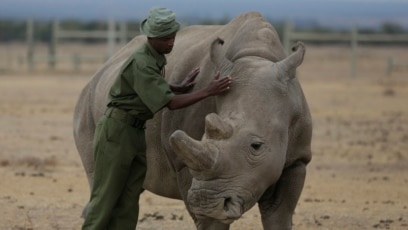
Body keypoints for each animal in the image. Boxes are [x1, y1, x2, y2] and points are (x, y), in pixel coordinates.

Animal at [73, 11, 312, 229]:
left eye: (256, 146)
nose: (203, 202)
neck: (256, 56)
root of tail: (102, 69)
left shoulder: (297, 159)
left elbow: (278, 215)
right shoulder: (186, 164)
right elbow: (212, 222)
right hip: (87, 105)